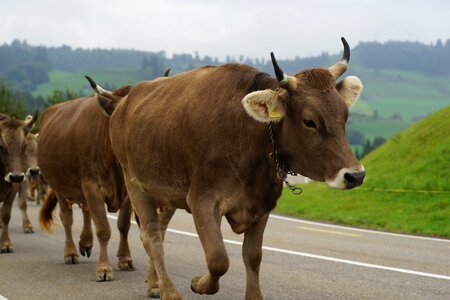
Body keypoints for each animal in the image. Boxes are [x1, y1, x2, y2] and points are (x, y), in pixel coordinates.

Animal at [0, 112, 36, 253]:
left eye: (24, 146)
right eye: (1, 146)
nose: (15, 177)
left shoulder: (15, 186)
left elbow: (6, 214)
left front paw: (5, 243)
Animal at [38, 85, 134, 282]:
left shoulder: (127, 193)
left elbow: (123, 226)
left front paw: (125, 259)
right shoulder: (92, 187)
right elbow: (103, 229)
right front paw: (104, 268)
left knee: (86, 210)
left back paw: (86, 243)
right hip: (59, 187)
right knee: (67, 218)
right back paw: (71, 253)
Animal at [96, 37, 364, 298]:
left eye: (345, 115)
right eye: (309, 121)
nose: (355, 175)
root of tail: (124, 102)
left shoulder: (262, 205)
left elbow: (253, 257)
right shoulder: (202, 200)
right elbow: (218, 260)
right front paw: (198, 283)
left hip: (166, 193)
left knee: (159, 232)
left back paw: (154, 284)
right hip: (135, 184)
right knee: (151, 237)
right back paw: (169, 291)